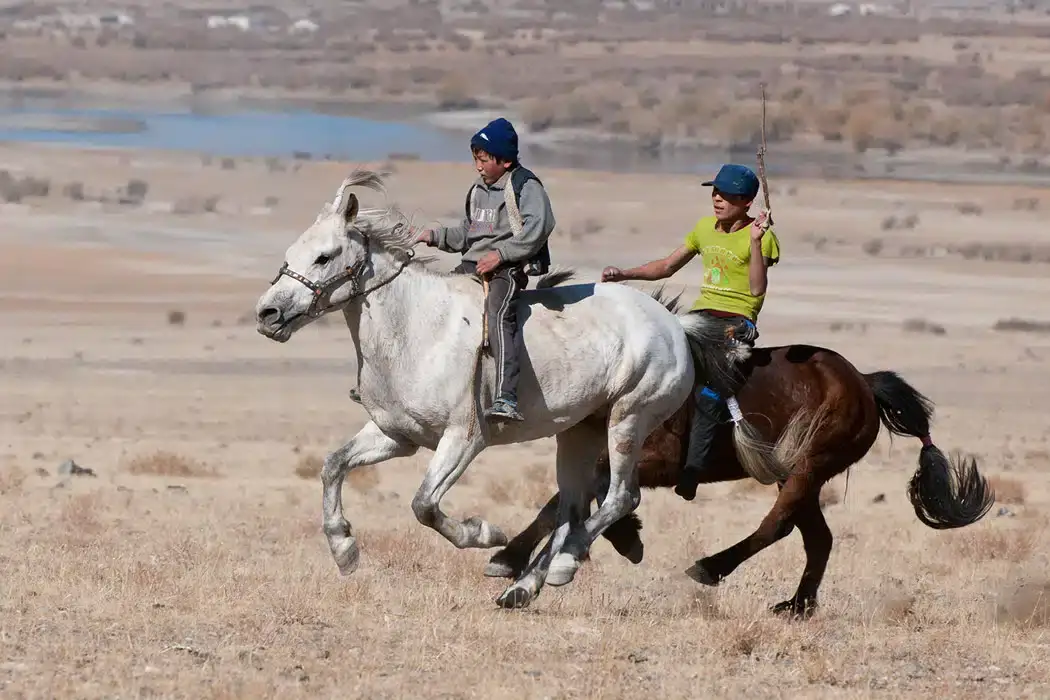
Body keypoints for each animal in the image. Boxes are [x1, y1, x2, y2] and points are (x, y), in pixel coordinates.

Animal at [249, 171, 701, 608]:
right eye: (290, 254)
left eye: (324, 256)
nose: (267, 314)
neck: (417, 328)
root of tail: (675, 325)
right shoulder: (395, 436)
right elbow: (333, 466)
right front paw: (344, 549)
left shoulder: (464, 440)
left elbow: (424, 505)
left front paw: (484, 533)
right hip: (580, 431)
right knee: (572, 507)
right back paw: (523, 587)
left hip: (629, 419)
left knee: (621, 497)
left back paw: (562, 565)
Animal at [482, 329, 991, 612]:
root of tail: (864, 383)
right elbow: (562, 503)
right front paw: (509, 558)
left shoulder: (651, 461)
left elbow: (588, 498)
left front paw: (614, 541)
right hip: (797, 473)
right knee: (817, 537)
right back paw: (798, 605)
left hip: (807, 467)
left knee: (778, 525)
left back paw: (711, 567)